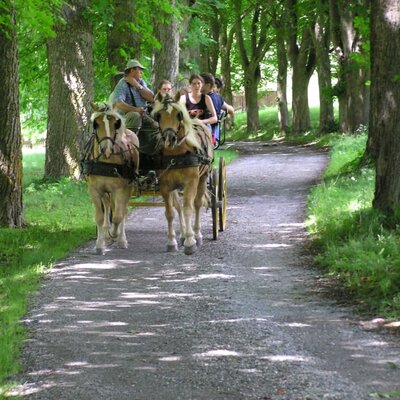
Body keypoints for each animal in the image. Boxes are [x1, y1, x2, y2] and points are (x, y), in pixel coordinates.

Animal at [81, 103, 139, 253]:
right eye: (95, 124)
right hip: (106, 191)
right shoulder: (94, 190)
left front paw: (116, 233)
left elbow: (118, 216)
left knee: (122, 210)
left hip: (128, 187)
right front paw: (100, 244)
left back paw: (120, 237)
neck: (106, 162)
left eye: (116, 123)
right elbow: (100, 217)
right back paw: (106, 235)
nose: (106, 150)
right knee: (108, 206)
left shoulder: (120, 189)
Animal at [151, 92, 214, 255]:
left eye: (178, 114)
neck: (176, 154)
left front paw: (190, 241)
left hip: (203, 177)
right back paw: (183, 234)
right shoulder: (165, 185)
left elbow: (188, 209)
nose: (169, 138)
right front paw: (171, 241)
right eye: (158, 115)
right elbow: (170, 213)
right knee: (178, 206)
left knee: (197, 204)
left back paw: (197, 234)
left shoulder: (191, 182)